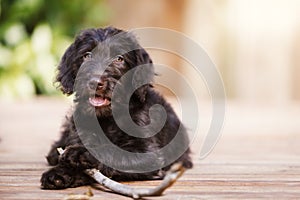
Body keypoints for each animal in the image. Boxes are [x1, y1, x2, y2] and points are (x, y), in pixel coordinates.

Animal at [40, 27, 192, 189]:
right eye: (86, 55)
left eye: (119, 59)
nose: (95, 82)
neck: (108, 118)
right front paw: (59, 172)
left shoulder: (149, 155)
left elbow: (115, 153)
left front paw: (82, 153)